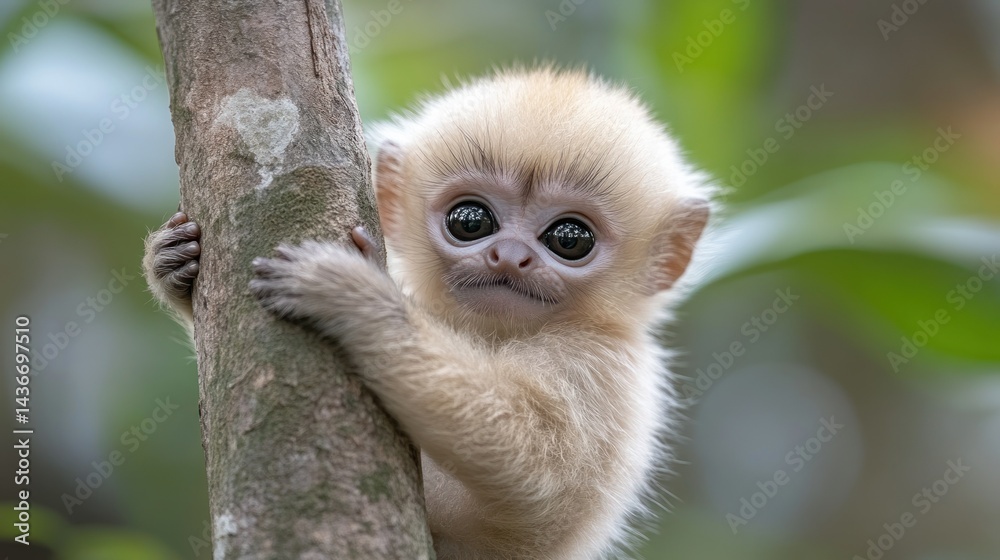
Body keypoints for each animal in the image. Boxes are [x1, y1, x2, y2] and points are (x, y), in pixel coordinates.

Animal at [143, 68, 714, 559]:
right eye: (471, 221)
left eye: (570, 239)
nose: (509, 256)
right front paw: (172, 266)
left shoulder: (602, 363)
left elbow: (534, 460)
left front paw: (359, 299)